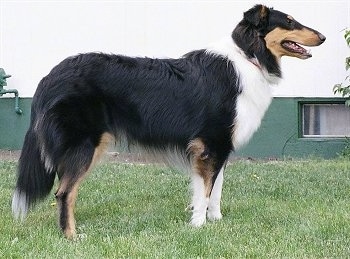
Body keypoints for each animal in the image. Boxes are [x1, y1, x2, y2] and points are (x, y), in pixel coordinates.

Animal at [11, 4, 326, 240]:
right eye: (289, 21)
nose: (323, 37)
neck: (249, 57)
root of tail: (49, 77)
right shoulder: (210, 144)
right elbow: (206, 190)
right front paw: (198, 226)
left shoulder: (219, 147)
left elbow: (216, 189)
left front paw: (216, 221)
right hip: (85, 146)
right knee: (64, 192)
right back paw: (72, 236)